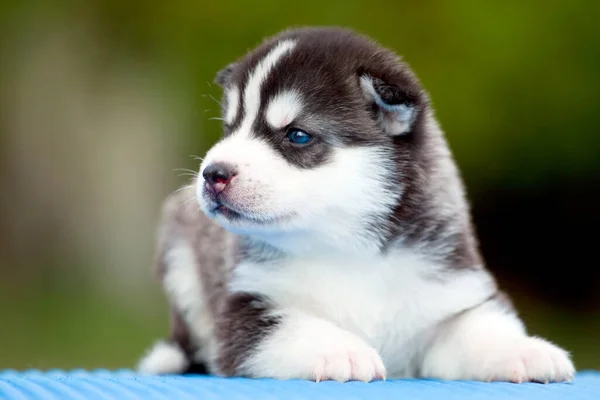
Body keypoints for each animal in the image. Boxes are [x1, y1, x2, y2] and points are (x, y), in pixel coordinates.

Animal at [137, 26, 576, 382]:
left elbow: (480, 328)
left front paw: (524, 350)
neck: (346, 248)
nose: (213, 173)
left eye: (297, 135)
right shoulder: (248, 308)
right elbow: (295, 326)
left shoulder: (453, 294)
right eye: (230, 128)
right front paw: (342, 350)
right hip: (178, 248)